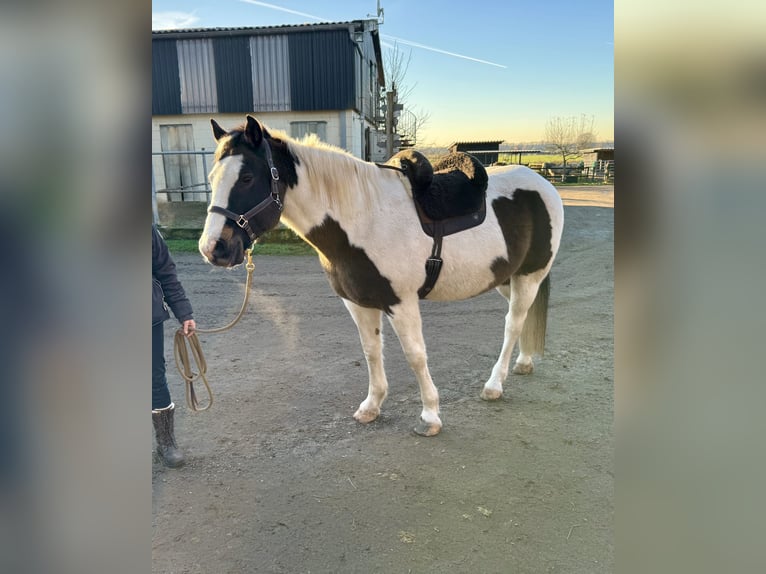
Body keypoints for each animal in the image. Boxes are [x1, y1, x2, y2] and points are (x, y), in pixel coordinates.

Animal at [198, 115, 564, 436]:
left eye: (247, 178)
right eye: (212, 177)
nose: (213, 248)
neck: (363, 218)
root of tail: (543, 185)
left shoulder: (401, 303)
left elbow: (415, 356)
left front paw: (430, 416)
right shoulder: (359, 303)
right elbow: (371, 351)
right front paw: (371, 407)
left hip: (530, 276)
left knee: (513, 323)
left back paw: (494, 384)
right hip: (507, 278)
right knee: (522, 318)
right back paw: (524, 362)